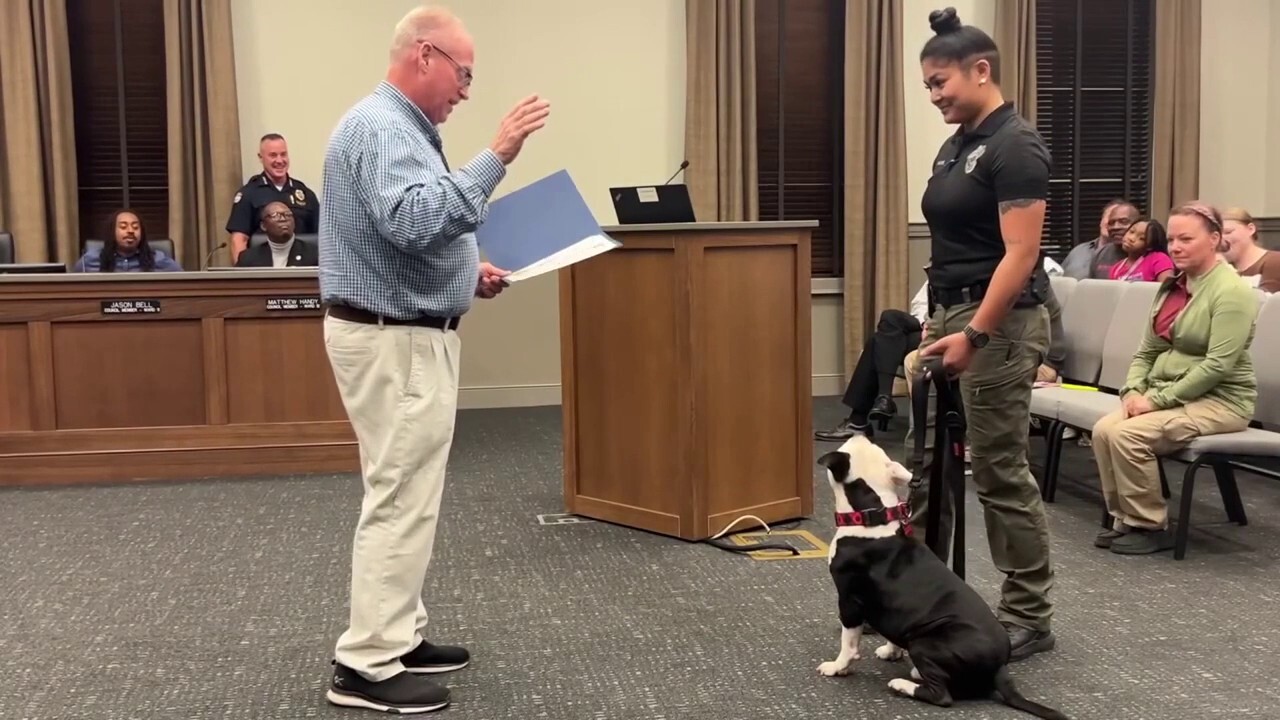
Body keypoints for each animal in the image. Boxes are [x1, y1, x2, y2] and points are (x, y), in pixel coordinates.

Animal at [819, 430, 1070, 717]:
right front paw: (891, 651)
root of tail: (999, 668)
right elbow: (893, 631)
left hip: (925, 643)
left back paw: (903, 684)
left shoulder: (849, 601)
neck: (873, 516)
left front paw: (837, 667)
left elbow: (848, 643)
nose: (859, 431)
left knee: (942, 696)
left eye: (846, 445)